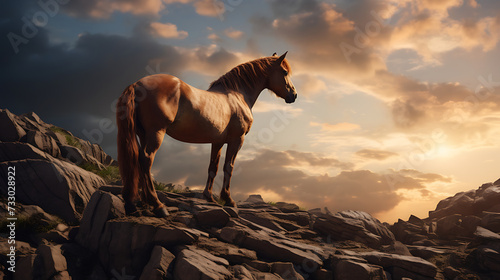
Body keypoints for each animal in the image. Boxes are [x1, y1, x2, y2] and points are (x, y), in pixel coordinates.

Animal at [116, 51, 296, 218]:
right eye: (284, 72)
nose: (293, 95)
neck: (238, 95)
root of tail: (137, 84)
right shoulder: (237, 140)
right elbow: (229, 167)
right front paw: (228, 200)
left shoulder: (217, 142)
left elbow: (213, 167)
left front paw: (209, 197)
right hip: (156, 133)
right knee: (146, 160)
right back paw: (158, 206)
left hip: (143, 134)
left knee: (138, 159)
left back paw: (136, 203)